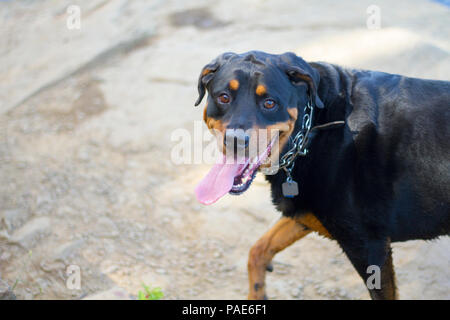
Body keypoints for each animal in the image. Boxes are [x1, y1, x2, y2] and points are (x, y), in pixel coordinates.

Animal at [195, 51, 450, 302]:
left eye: (269, 103)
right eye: (224, 97)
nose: (235, 140)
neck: (313, 129)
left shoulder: (370, 246)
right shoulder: (305, 211)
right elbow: (258, 249)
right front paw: (257, 293)